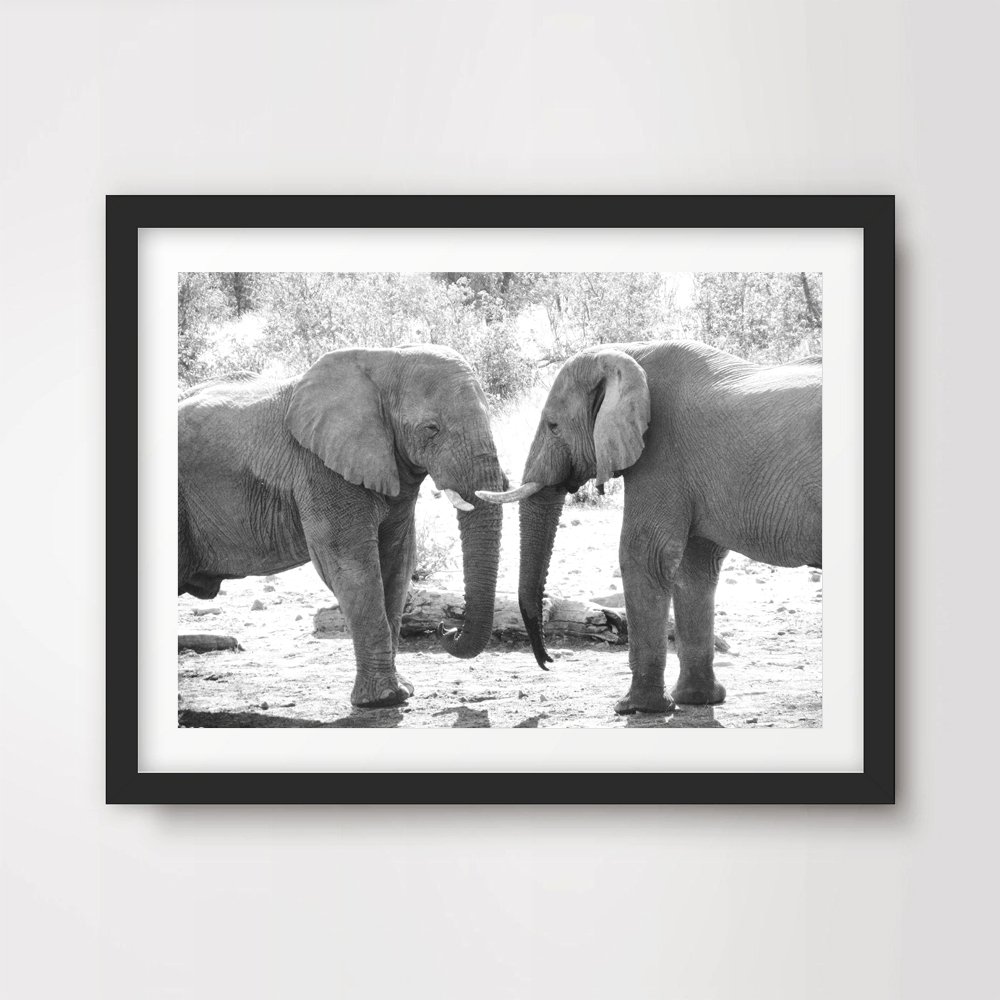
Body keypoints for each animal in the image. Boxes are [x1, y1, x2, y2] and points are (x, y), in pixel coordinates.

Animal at [178, 344, 507, 708]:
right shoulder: (319, 469)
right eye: (431, 428)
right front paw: (384, 699)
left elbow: (397, 562)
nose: (445, 628)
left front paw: (401, 691)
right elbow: (352, 566)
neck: (383, 359)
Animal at [478, 340, 821, 715]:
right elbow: (694, 566)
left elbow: (645, 556)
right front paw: (695, 700)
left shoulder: (661, 454)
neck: (627, 353)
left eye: (553, 425)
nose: (549, 662)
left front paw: (634, 707)